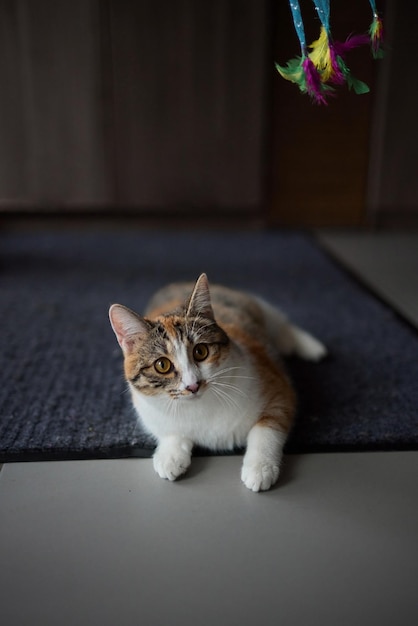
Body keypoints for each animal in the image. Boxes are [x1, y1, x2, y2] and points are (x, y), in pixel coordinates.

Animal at [108, 272, 326, 492]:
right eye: (162, 365)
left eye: (200, 351)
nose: (193, 385)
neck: (198, 407)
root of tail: (177, 283)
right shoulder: (147, 410)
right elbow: (168, 430)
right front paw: (170, 456)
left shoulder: (278, 386)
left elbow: (268, 428)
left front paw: (260, 468)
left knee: (278, 320)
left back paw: (307, 346)